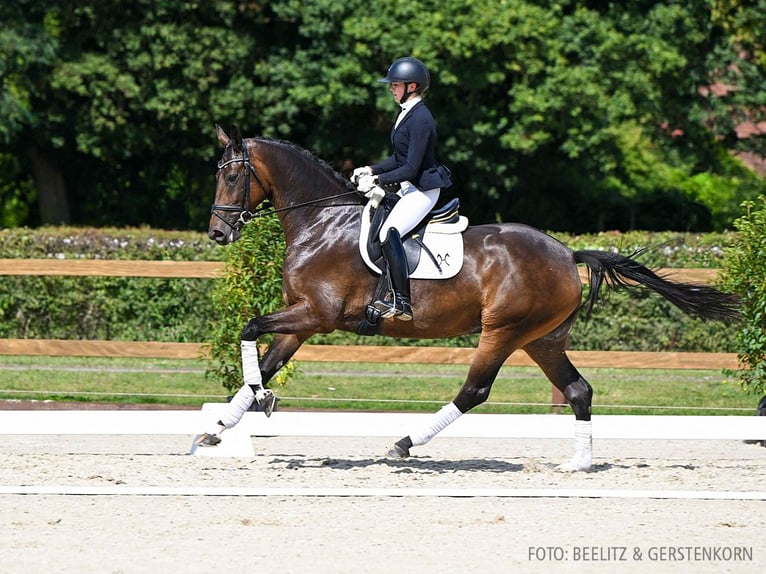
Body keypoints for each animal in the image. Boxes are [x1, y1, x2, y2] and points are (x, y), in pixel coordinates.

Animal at [201, 126, 740, 472]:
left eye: (232, 176)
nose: (217, 234)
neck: (323, 223)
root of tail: (566, 252)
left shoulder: (317, 314)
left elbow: (250, 329)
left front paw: (252, 404)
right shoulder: (306, 321)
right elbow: (266, 360)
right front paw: (219, 427)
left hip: (503, 330)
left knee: (475, 390)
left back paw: (404, 444)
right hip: (542, 338)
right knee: (578, 391)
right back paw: (578, 465)